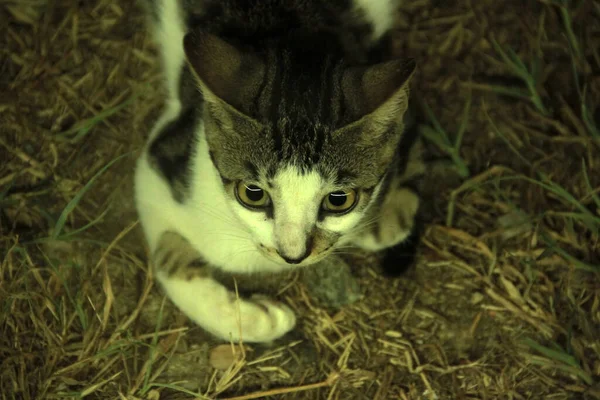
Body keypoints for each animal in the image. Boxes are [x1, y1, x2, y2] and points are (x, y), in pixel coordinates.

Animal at [136, 0, 426, 344]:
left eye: (339, 200)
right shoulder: (160, 168)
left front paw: (387, 218)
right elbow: (165, 254)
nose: (293, 255)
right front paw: (256, 320)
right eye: (253, 194)